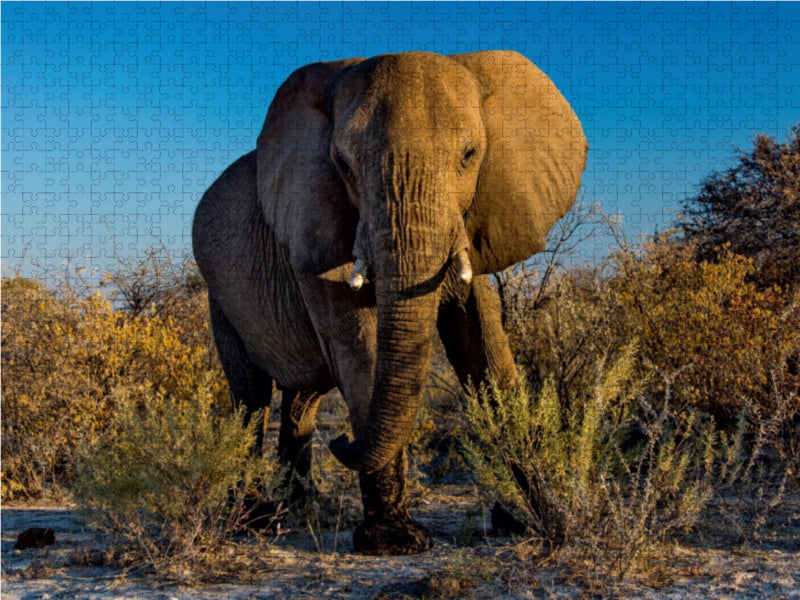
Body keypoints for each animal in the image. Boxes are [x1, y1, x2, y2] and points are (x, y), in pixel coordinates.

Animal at [191, 49, 584, 556]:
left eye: (469, 156)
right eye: (343, 164)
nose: (341, 441)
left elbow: (483, 346)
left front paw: (535, 520)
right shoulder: (313, 231)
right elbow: (361, 348)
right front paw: (395, 542)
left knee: (301, 398)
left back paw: (296, 511)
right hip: (219, 295)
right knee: (251, 396)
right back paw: (254, 519)